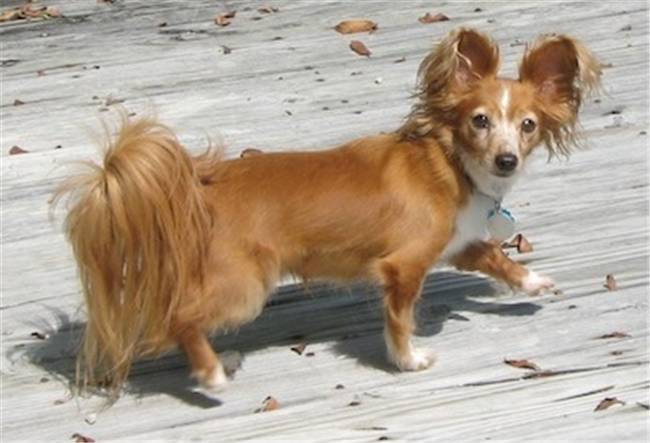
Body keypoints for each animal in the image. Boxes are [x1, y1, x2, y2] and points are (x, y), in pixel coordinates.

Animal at [53, 27, 600, 396]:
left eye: (528, 126)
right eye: (479, 121)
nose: (507, 160)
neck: (450, 166)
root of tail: (195, 189)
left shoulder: (456, 243)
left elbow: (496, 257)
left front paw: (532, 282)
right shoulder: (404, 266)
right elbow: (399, 321)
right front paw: (407, 360)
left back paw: (219, 359)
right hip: (247, 286)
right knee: (179, 318)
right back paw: (210, 374)